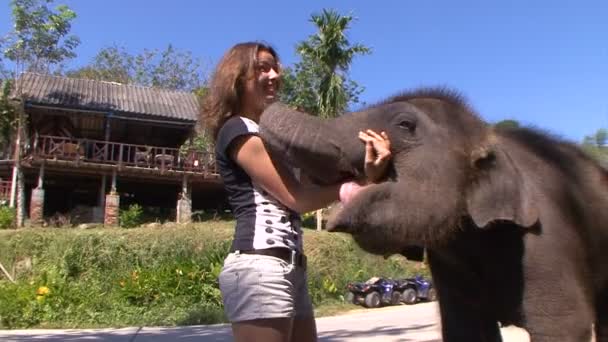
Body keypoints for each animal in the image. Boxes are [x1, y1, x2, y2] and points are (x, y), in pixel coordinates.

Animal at [260, 89, 608, 342]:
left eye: (405, 125)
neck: (489, 136)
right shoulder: (448, 269)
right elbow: (465, 331)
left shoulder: (547, 236)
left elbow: (563, 327)